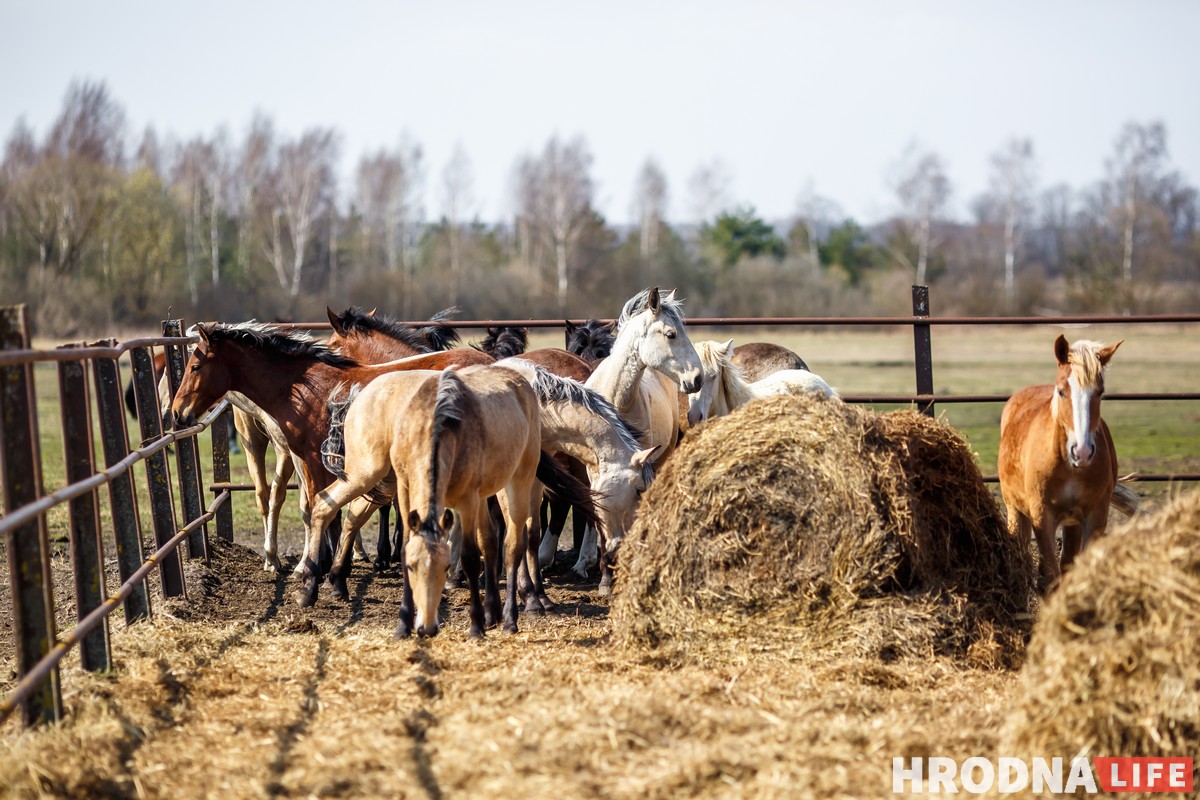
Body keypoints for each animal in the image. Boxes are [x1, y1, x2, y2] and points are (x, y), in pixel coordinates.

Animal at [169, 321, 492, 606]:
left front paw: (319, 574)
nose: (176, 412)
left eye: (195, 367)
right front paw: (334, 575)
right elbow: (333, 513)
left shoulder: (314, 460)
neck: (304, 389)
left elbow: (322, 510)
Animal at [998, 335, 1137, 592]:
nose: (1081, 452)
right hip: (1015, 510)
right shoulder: (1041, 516)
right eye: (1062, 391)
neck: (1070, 468)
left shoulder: (1095, 515)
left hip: (1072, 522)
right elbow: (1049, 575)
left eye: (1100, 391)